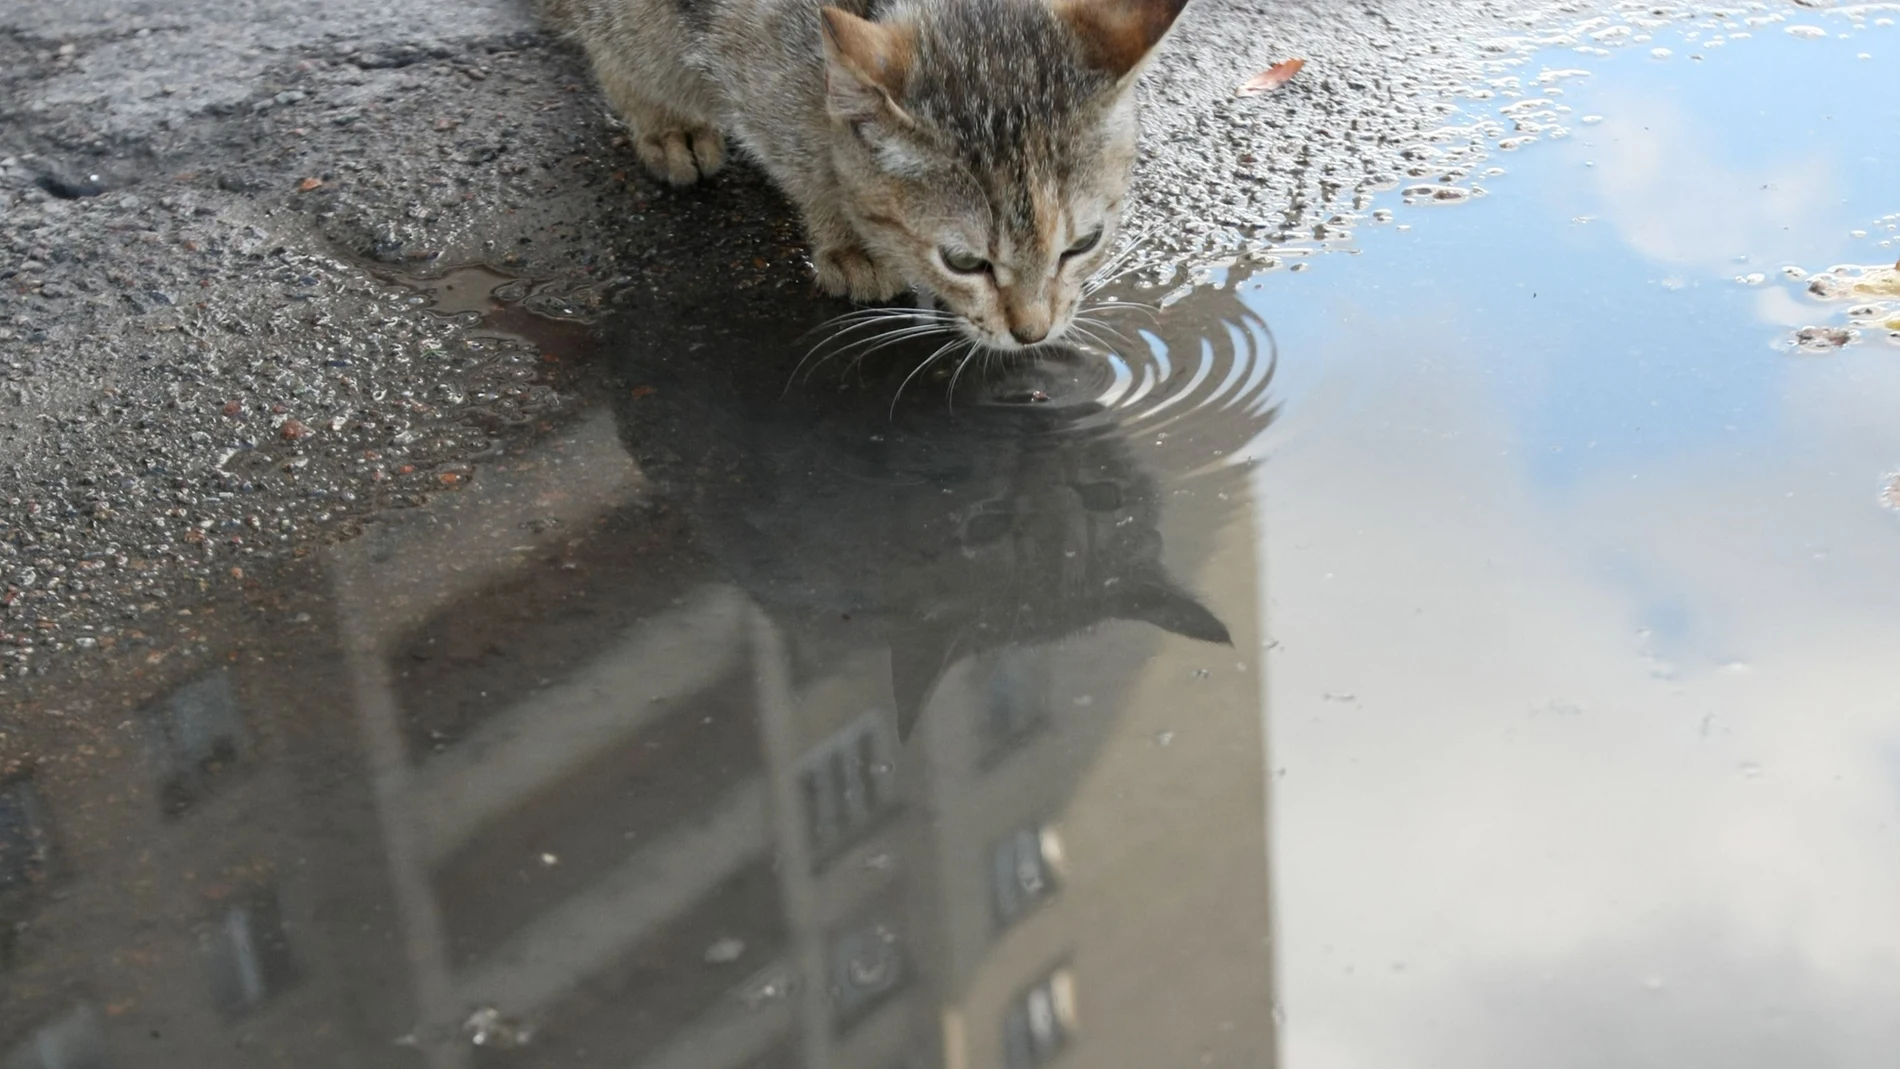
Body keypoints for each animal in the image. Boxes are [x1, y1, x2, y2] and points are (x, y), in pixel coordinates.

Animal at [539, 0, 1185, 349]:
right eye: (964, 262)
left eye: (1085, 243)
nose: (1034, 334)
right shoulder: (755, 65)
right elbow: (805, 154)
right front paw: (847, 239)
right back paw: (666, 123)